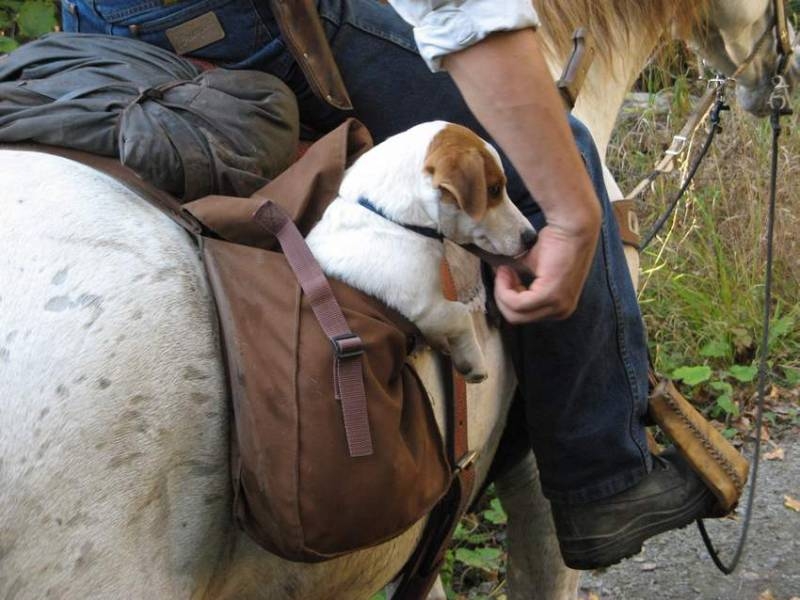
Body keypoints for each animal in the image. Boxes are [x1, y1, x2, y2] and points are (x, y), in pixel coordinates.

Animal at [306, 122, 536, 382]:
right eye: (494, 189)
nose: (532, 237)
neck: (392, 220)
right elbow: (461, 314)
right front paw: (473, 361)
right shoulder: (425, 303)